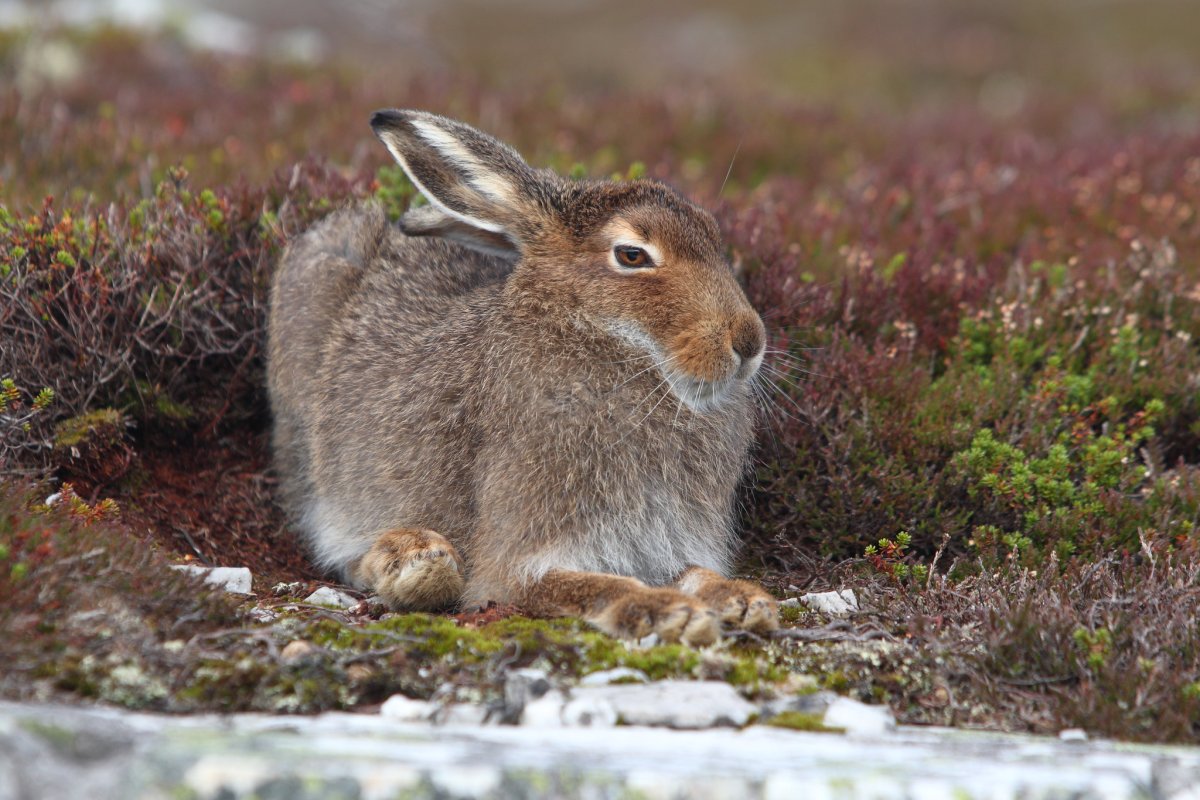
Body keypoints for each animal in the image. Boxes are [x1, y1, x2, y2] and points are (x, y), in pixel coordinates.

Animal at [267, 109, 778, 646]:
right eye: (632, 255)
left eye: (714, 237)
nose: (748, 342)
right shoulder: (517, 558)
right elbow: (591, 586)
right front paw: (667, 611)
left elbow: (697, 573)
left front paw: (743, 599)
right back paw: (410, 561)